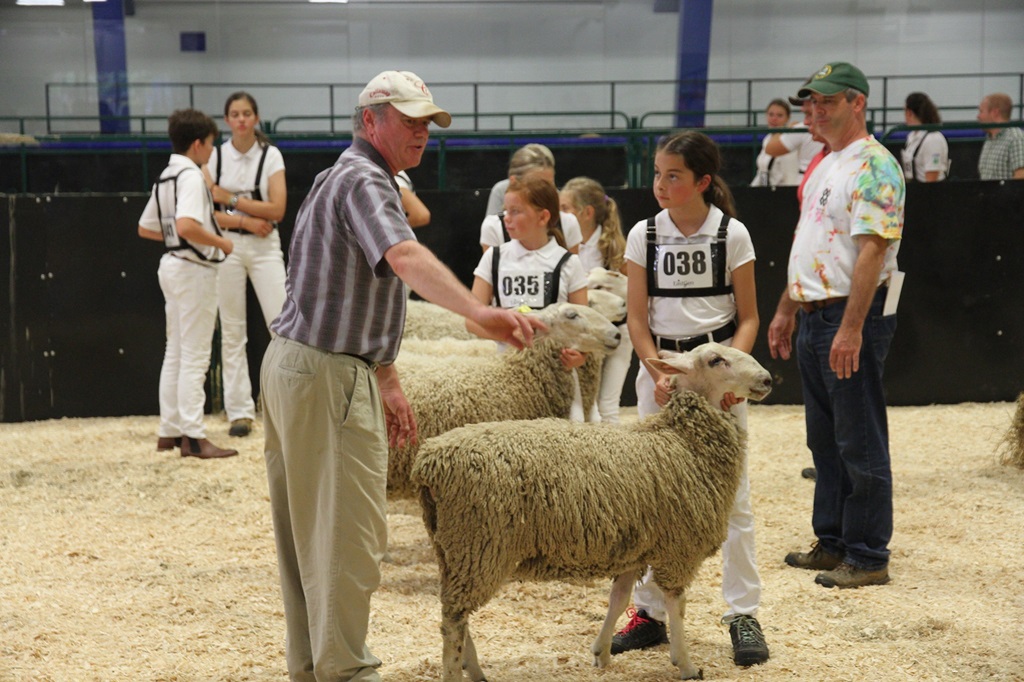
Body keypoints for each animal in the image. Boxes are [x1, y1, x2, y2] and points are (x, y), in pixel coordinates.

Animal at [410, 342, 773, 681]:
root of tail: (430, 461)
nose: (767, 379)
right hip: (479, 544)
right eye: (716, 360)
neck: (682, 440)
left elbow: (619, 599)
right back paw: (456, 672)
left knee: (456, 612)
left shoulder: (634, 546)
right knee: (454, 618)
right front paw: (685, 664)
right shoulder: (678, 549)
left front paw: (602, 652)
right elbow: (677, 606)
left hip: (453, 548)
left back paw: (474, 669)